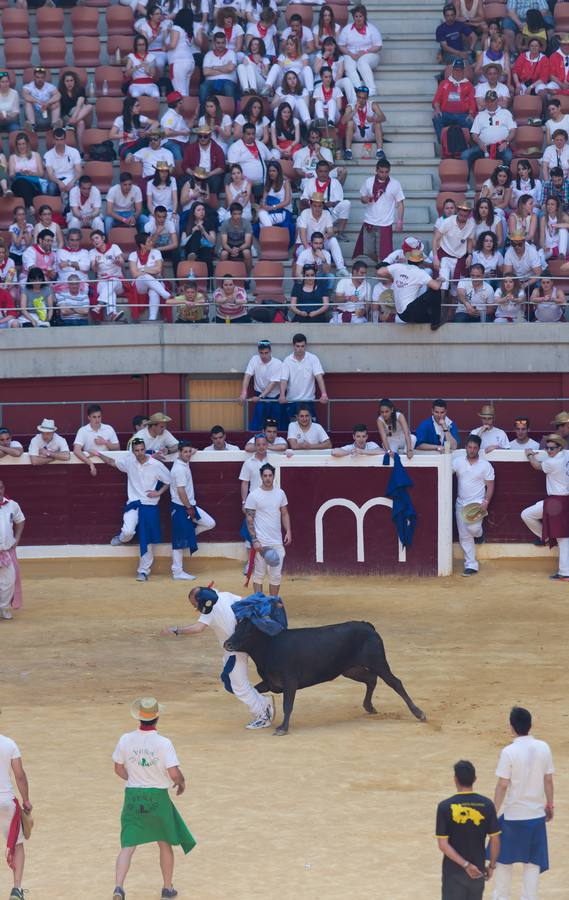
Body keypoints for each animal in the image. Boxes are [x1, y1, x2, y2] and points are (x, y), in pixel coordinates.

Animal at [224, 624, 424, 736]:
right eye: (236, 627)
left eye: (249, 631)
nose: (227, 643)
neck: (270, 647)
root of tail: (368, 626)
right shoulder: (270, 683)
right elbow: (254, 691)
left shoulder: (290, 682)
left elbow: (288, 705)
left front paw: (282, 728)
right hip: (350, 669)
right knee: (371, 679)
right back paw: (369, 706)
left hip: (378, 662)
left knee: (395, 682)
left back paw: (418, 713)